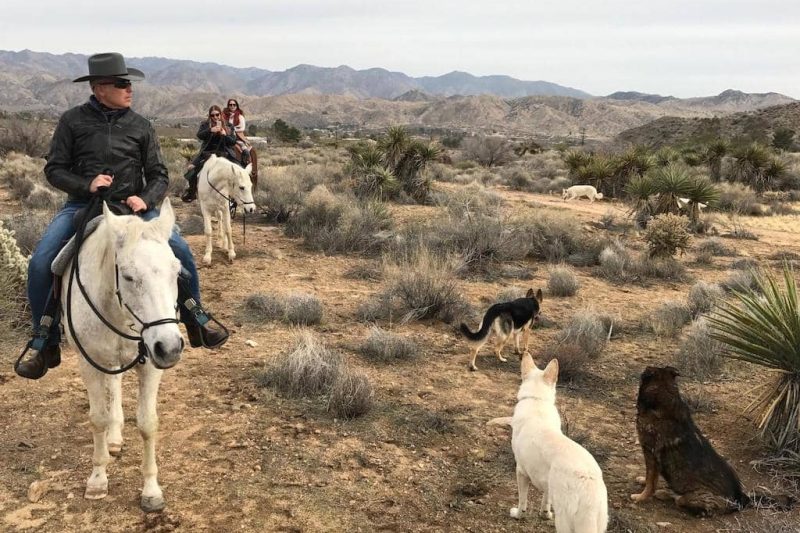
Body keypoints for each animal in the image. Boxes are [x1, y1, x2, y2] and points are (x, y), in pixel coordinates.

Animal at [62, 198, 184, 512]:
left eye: (177, 272)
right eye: (128, 275)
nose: (170, 347)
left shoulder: (151, 365)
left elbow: (147, 423)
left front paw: (151, 490)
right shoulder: (88, 363)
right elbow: (97, 419)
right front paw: (97, 479)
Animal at [636, 366, 792, 516]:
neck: (664, 395)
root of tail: (741, 498)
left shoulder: (650, 452)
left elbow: (650, 480)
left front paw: (640, 497)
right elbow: (650, 476)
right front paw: (643, 482)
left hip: (696, 498)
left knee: (683, 501)